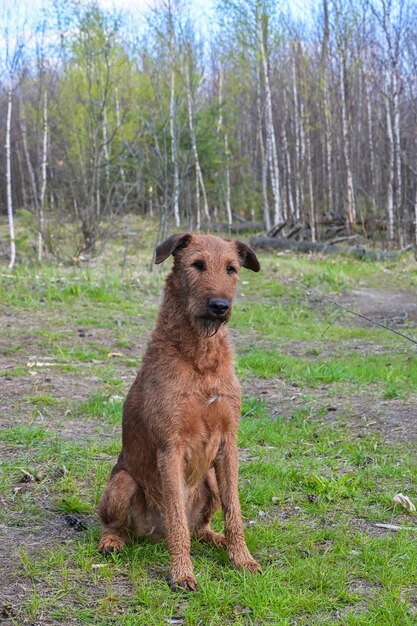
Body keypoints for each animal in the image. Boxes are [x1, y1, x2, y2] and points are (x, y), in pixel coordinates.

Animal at [98, 232, 260, 588]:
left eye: (231, 268)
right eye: (197, 264)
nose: (220, 306)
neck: (200, 357)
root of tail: (153, 536)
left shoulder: (228, 443)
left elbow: (235, 511)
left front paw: (241, 558)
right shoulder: (170, 447)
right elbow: (177, 521)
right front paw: (182, 573)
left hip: (210, 480)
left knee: (200, 527)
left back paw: (217, 539)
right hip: (122, 483)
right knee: (116, 525)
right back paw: (112, 541)